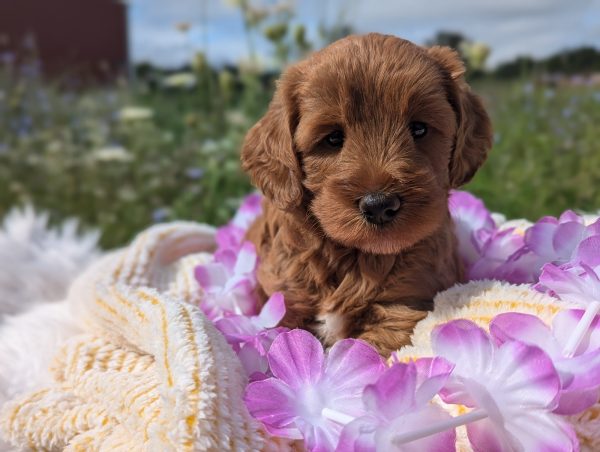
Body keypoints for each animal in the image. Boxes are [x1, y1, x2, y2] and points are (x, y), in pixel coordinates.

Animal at [240, 33, 492, 354]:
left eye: (419, 129)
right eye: (333, 138)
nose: (379, 205)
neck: (356, 258)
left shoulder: (404, 306)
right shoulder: (283, 302)